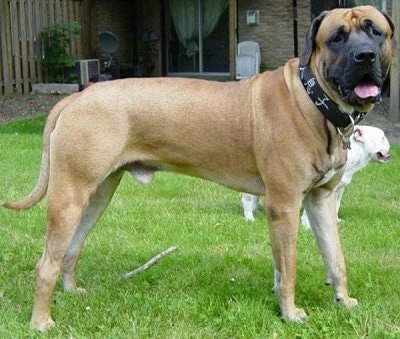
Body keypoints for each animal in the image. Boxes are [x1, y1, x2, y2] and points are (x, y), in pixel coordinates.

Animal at [241, 125, 390, 226]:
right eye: (382, 138)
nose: (388, 145)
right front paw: (307, 226)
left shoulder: (338, 189)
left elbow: (336, 206)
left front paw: (335, 221)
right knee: (247, 198)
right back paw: (250, 218)